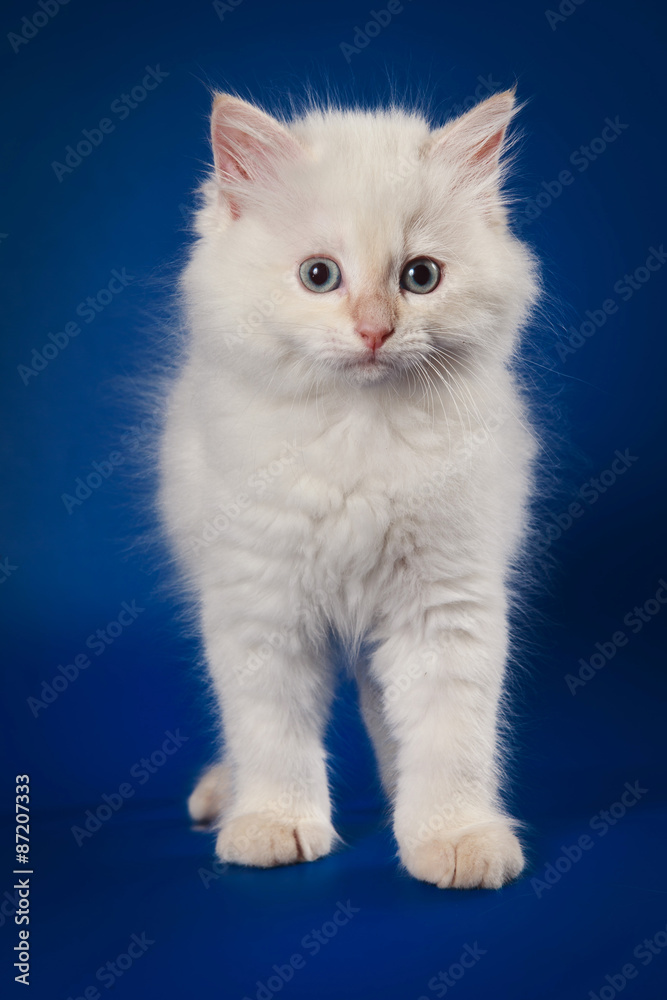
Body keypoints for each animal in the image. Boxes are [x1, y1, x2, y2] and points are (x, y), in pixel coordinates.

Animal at [160, 90, 544, 888]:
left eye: (421, 277)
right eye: (318, 275)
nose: (374, 330)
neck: (359, 437)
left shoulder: (443, 602)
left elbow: (448, 734)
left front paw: (451, 833)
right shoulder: (258, 601)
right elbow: (269, 730)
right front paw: (273, 823)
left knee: (383, 711)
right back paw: (225, 797)